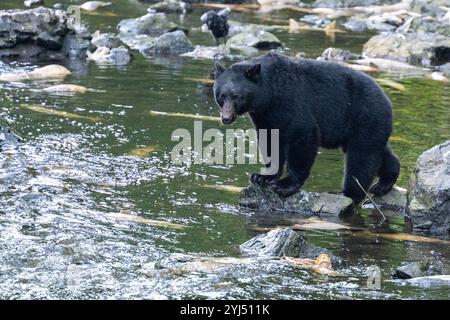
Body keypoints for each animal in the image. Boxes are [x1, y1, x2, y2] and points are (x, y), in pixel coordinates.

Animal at [213, 52, 400, 202]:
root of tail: (387, 100)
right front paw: (262, 176)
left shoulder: (291, 102)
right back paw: (385, 181)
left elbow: (304, 137)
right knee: (377, 152)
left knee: (361, 157)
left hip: (364, 117)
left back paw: (349, 193)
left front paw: (284, 185)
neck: (270, 94)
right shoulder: (265, 116)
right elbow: (270, 141)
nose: (226, 118)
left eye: (237, 96)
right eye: (221, 96)